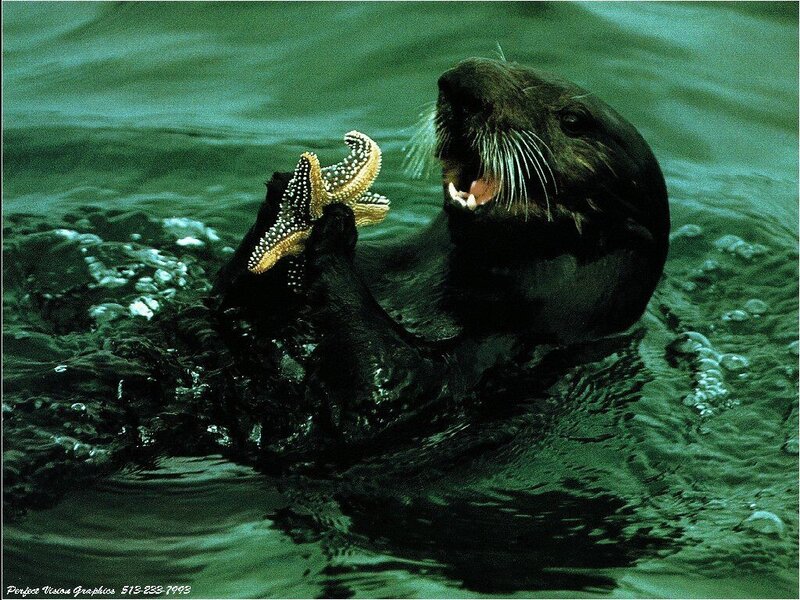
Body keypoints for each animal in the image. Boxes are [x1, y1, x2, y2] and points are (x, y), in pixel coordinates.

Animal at [212, 57, 670, 457]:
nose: (461, 83)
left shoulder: (504, 352)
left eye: (573, 121)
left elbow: (383, 388)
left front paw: (332, 233)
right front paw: (285, 191)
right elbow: (223, 297)